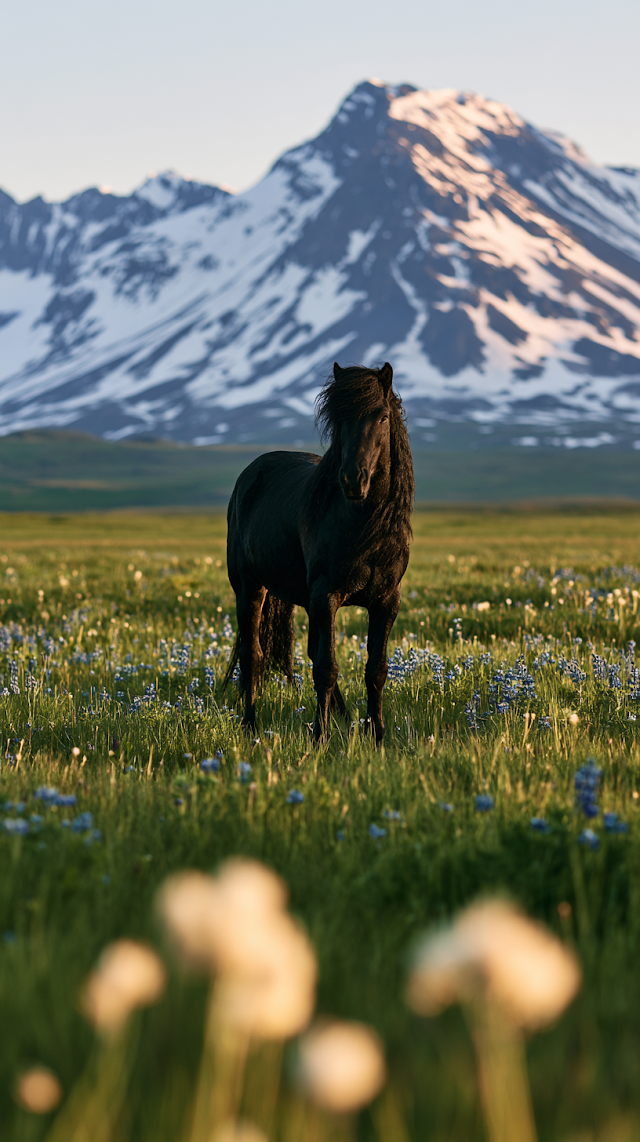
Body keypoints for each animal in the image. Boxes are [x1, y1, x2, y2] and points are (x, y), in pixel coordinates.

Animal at [225, 361, 414, 742]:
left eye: (383, 416)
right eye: (339, 419)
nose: (353, 479)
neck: (364, 525)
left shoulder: (387, 600)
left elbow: (376, 669)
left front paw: (378, 734)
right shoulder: (326, 595)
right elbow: (327, 668)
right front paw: (320, 737)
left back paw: (344, 716)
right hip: (250, 588)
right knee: (253, 655)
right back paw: (250, 724)